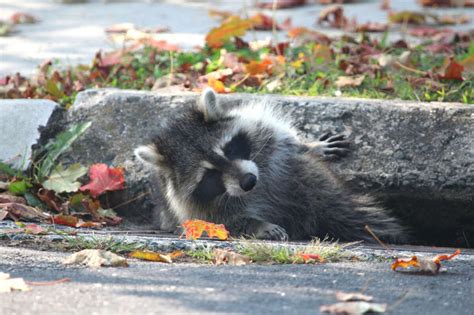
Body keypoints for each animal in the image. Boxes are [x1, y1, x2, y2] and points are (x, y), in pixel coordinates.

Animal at [135, 90, 406, 243]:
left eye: (229, 149)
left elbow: (287, 143)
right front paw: (258, 226)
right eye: (209, 175)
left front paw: (311, 145)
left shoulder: (265, 135)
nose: (248, 182)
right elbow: (219, 222)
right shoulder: (191, 209)